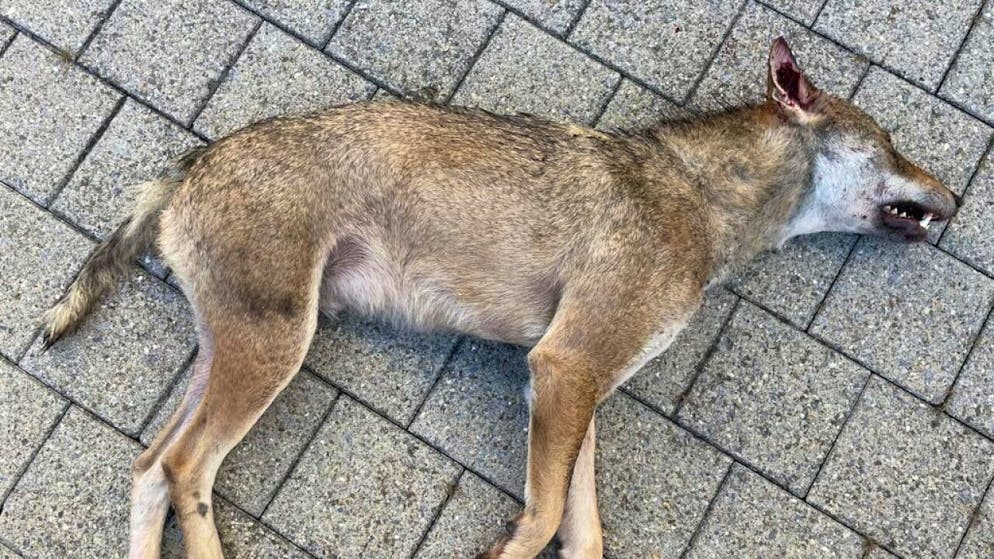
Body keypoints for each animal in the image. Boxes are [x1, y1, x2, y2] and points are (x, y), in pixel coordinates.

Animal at [40, 38, 957, 558]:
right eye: (891, 144)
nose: (955, 198)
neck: (699, 194)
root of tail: (189, 163)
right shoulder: (566, 366)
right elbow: (543, 520)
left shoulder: (575, 385)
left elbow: (581, 533)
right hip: (272, 352)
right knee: (186, 469)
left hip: (235, 352)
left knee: (148, 467)